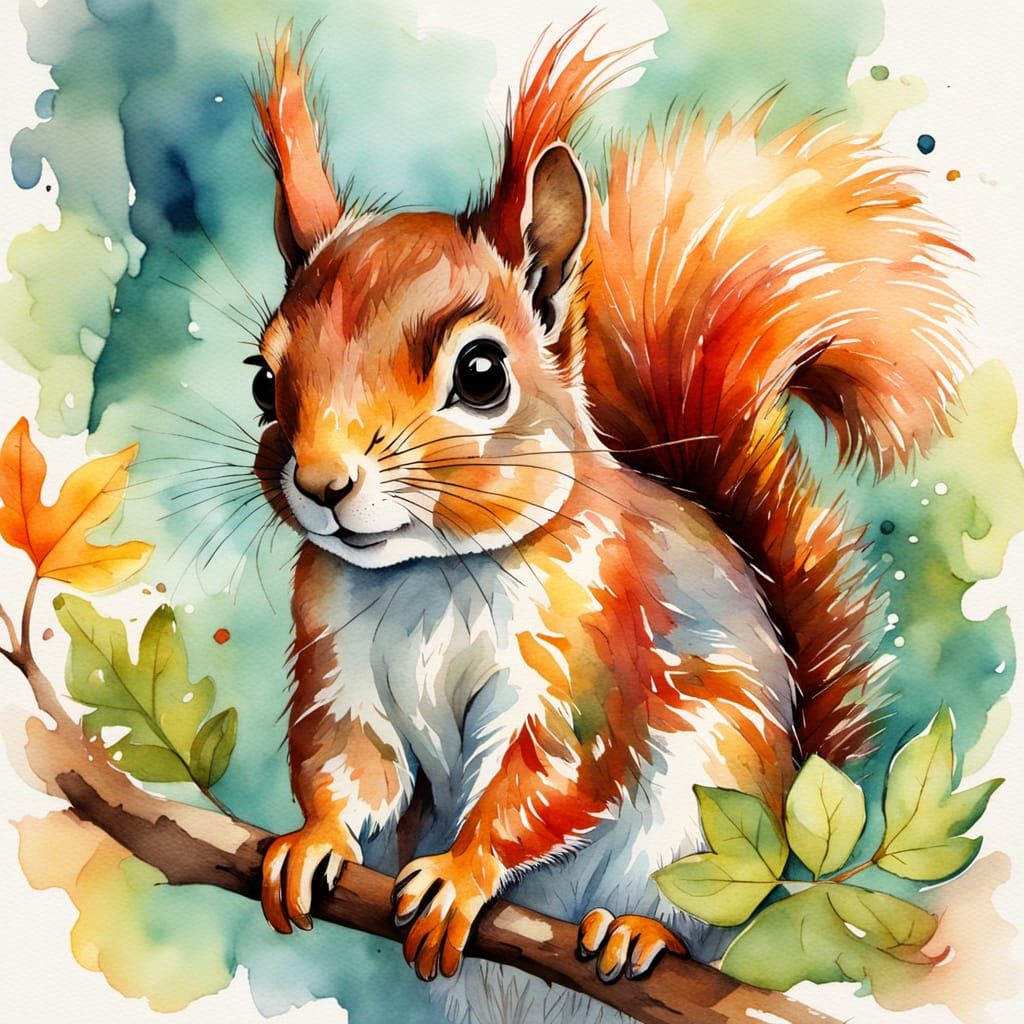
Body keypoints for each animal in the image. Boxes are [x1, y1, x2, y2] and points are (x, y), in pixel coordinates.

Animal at [248, 17, 966, 1024]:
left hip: (707, 817)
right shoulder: (336, 660)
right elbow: (351, 763)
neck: (429, 573)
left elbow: (550, 777)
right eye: (262, 380)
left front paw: (463, 873)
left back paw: (639, 935)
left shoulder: (589, 650)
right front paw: (311, 841)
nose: (322, 483)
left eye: (481, 374)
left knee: (685, 913)